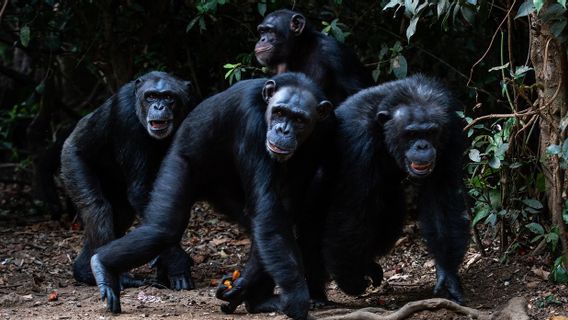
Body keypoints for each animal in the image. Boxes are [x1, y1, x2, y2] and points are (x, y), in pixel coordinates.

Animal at [61, 71, 195, 292]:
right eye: (151, 96)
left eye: (169, 97)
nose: (159, 107)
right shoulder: (125, 117)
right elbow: (141, 191)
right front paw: (176, 263)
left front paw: (165, 263)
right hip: (72, 160)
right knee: (98, 210)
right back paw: (113, 277)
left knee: (121, 215)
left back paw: (84, 270)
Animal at [87, 73, 332, 320]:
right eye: (280, 112)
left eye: (299, 119)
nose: (283, 130)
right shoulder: (252, 123)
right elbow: (267, 209)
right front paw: (296, 300)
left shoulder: (322, 135)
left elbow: (280, 210)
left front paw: (240, 289)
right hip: (179, 162)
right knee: (163, 229)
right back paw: (103, 265)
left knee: (258, 230)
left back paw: (259, 301)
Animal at [322, 74, 468, 304]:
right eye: (412, 134)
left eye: (431, 132)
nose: (422, 146)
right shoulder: (356, 140)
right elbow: (351, 210)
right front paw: (350, 279)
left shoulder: (451, 128)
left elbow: (442, 197)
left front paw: (447, 274)